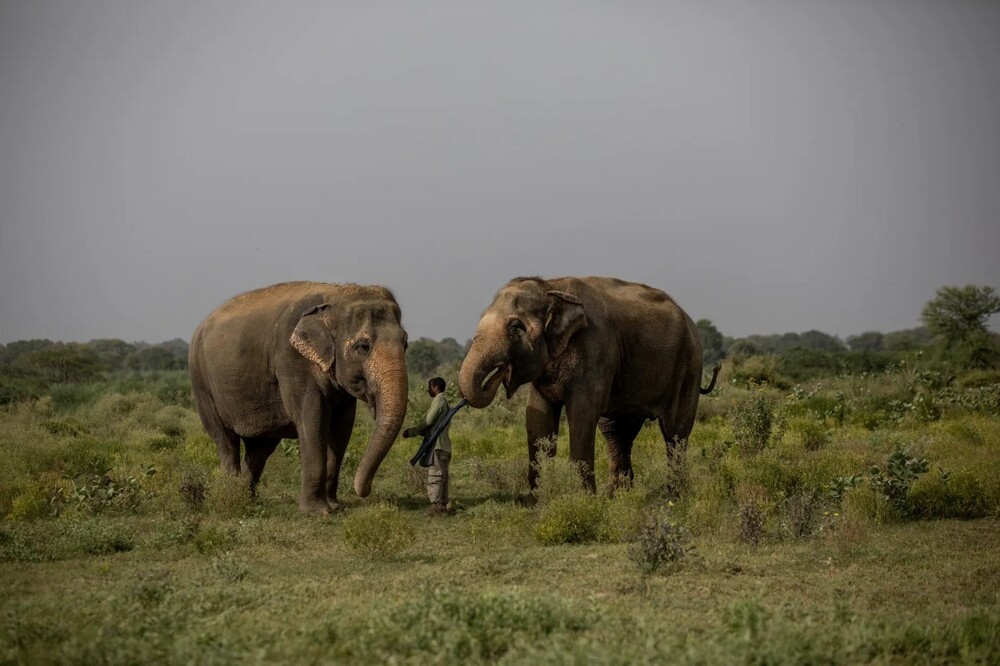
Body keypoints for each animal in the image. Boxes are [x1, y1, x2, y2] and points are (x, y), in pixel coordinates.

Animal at [186, 278, 408, 510]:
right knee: (225, 441)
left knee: (260, 449)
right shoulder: (291, 360)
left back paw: (246, 498)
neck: (334, 295)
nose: (363, 492)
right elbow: (313, 419)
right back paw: (232, 497)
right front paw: (318, 511)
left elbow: (342, 427)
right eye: (363, 346)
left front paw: (335, 506)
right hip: (201, 382)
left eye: (406, 343)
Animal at [460, 274, 720, 492]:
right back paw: (618, 495)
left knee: (675, 432)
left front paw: (582, 498)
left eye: (515, 327)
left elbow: (582, 414)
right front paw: (538, 498)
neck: (551, 286)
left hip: (689, 366)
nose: (498, 374)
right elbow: (537, 417)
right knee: (617, 432)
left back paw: (674, 496)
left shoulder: (595, 351)